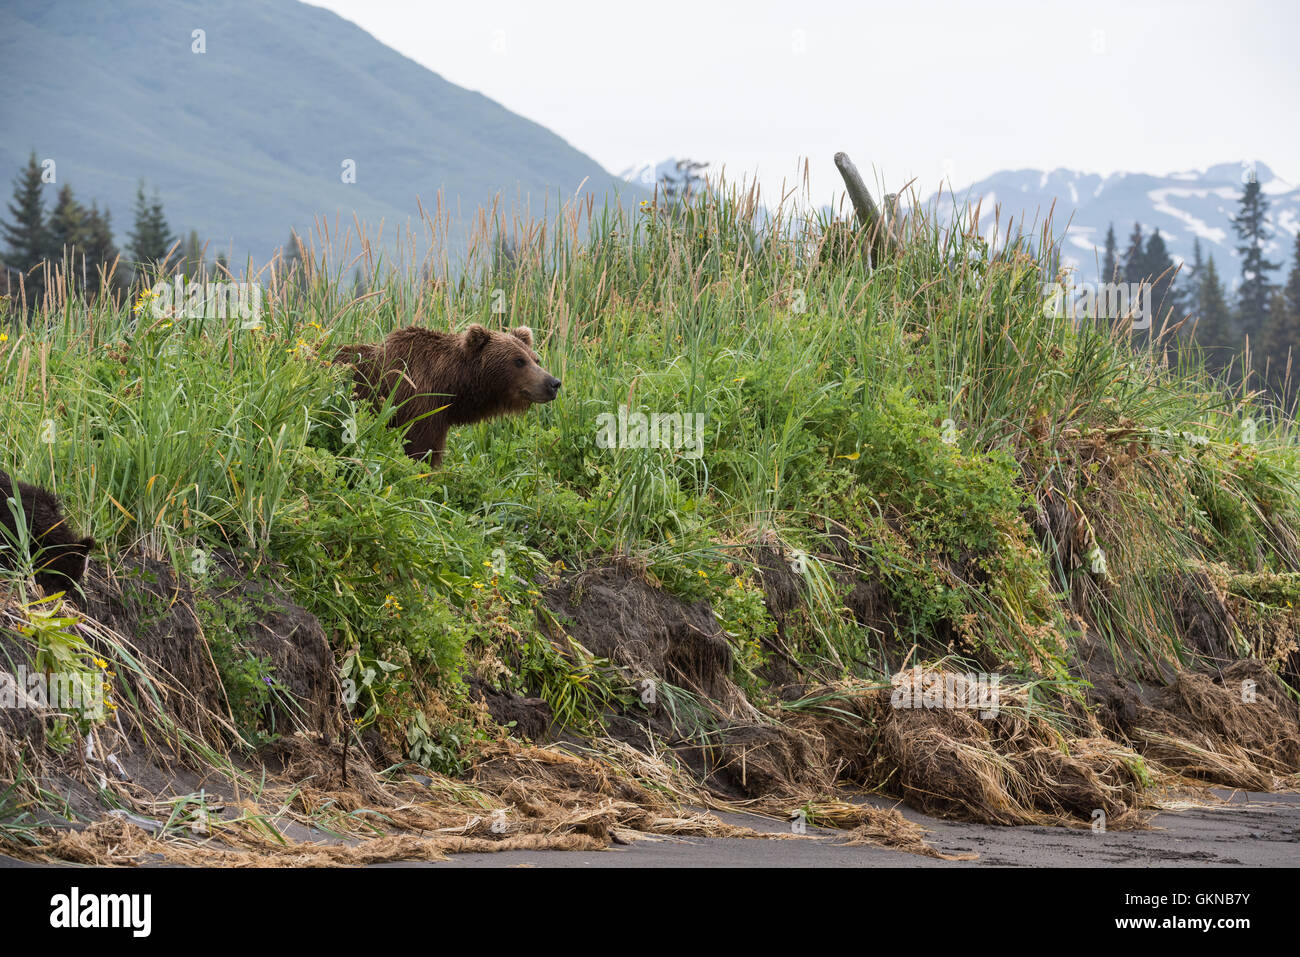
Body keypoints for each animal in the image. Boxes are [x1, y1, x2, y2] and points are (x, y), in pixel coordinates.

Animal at [333, 323, 561, 466]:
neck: (450, 384)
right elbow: (418, 450)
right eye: (519, 361)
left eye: (535, 359)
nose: (553, 383)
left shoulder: (437, 416)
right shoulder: (418, 405)